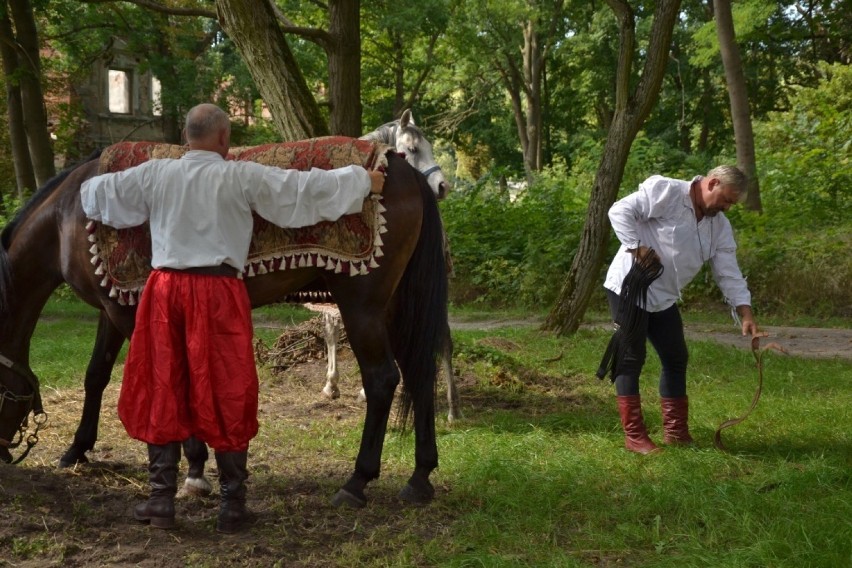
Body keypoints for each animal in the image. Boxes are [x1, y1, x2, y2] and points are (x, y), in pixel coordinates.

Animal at [0, 142, 450, 506]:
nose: (3, 451)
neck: (69, 217)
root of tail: (398, 165)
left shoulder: (127, 312)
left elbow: (170, 380)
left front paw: (195, 469)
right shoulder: (112, 308)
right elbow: (96, 375)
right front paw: (77, 449)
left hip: (363, 307)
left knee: (382, 379)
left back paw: (357, 481)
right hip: (393, 308)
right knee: (418, 373)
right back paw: (420, 476)